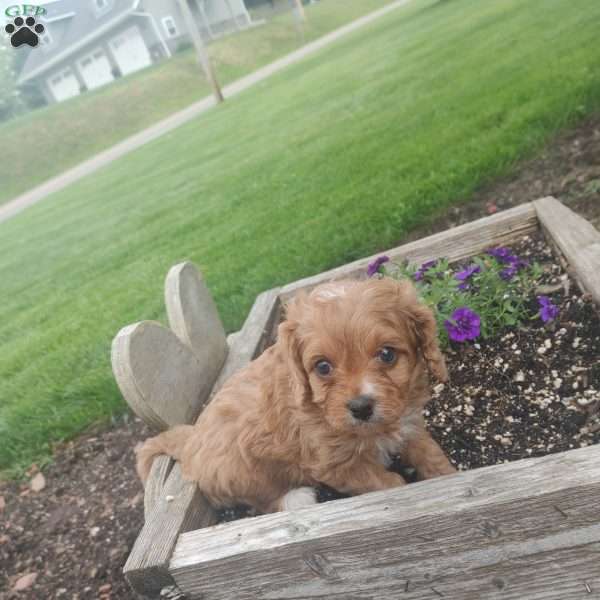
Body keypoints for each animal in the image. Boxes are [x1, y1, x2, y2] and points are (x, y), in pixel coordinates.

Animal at [136, 278, 454, 512]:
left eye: (387, 354)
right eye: (323, 366)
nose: (360, 407)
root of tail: (190, 438)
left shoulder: (408, 422)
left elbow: (430, 453)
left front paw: (449, 477)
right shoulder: (338, 467)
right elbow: (388, 483)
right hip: (242, 472)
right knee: (264, 501)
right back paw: (297, 499)